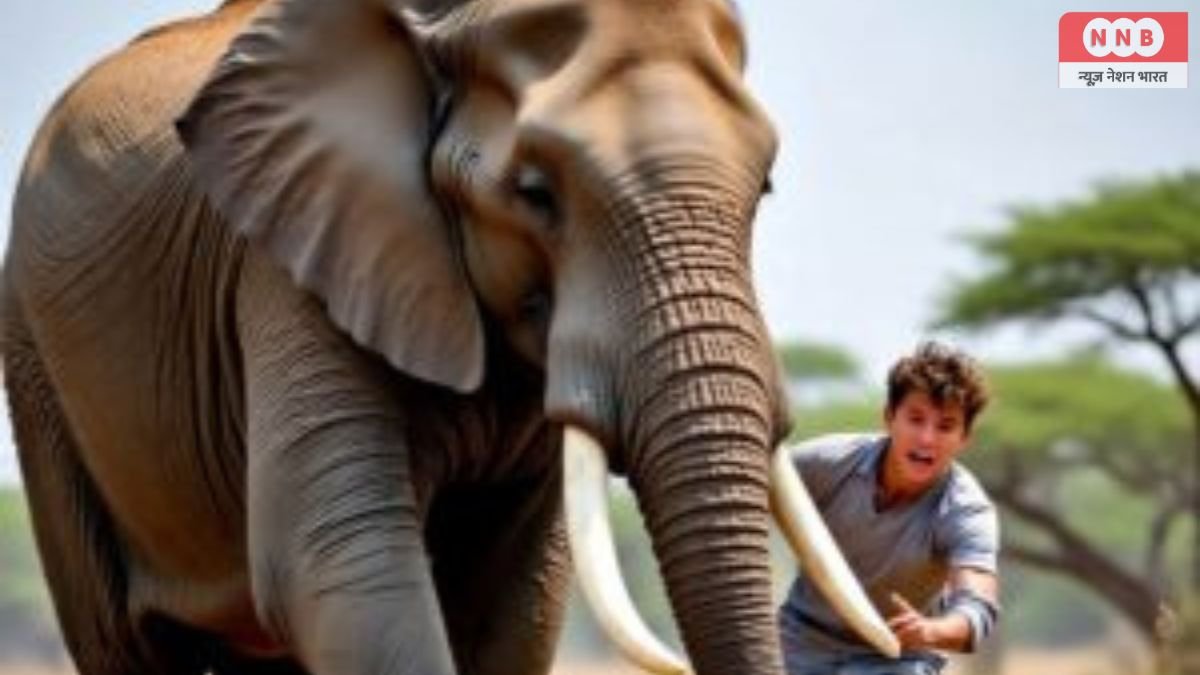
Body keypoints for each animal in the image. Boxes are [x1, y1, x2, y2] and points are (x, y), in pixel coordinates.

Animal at [2, 0, 894, 674]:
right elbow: (336, 558)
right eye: (534, 193)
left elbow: (515, 593)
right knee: (121, 638)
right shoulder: (293, 254)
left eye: (765, 186)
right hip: (37, 363)